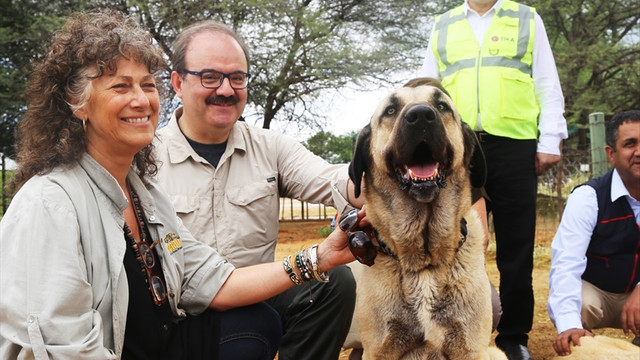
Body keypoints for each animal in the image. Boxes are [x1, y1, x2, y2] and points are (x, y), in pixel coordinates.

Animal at [348, 77, 508, 358]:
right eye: (390, 110)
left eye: (442, 106)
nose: (421, 115)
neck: (425, 263)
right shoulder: (379, 350)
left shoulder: (470, 348)